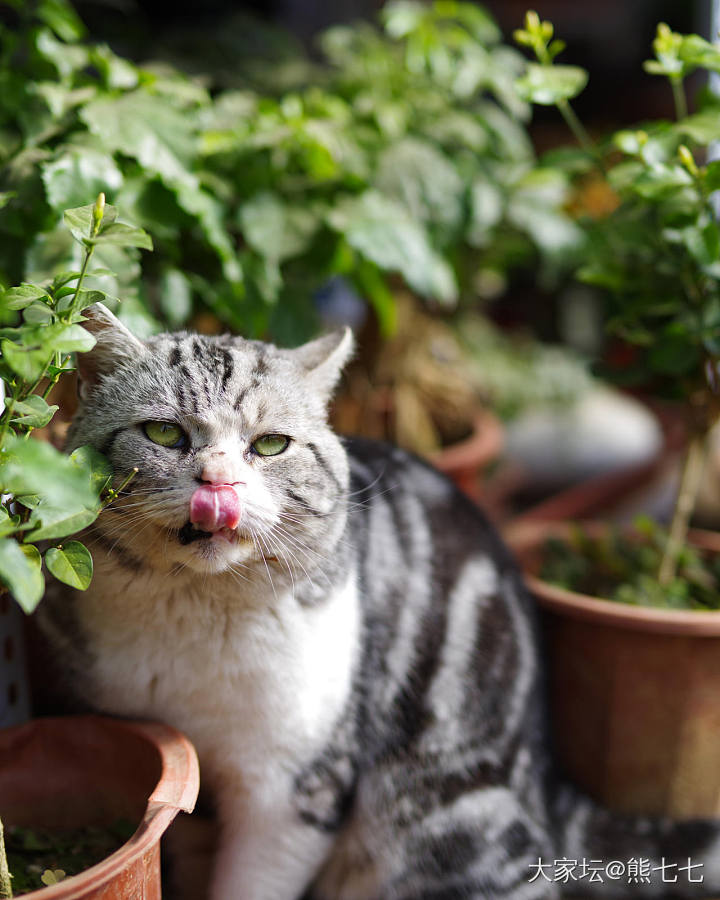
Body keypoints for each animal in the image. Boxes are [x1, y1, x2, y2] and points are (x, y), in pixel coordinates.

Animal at [40, 304, 720, 900]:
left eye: (270, 445)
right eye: (163, 432)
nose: (218, 482)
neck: (196, 611)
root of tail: (547, 787)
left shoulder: (295, 787)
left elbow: (251, 882)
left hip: (444, 822)